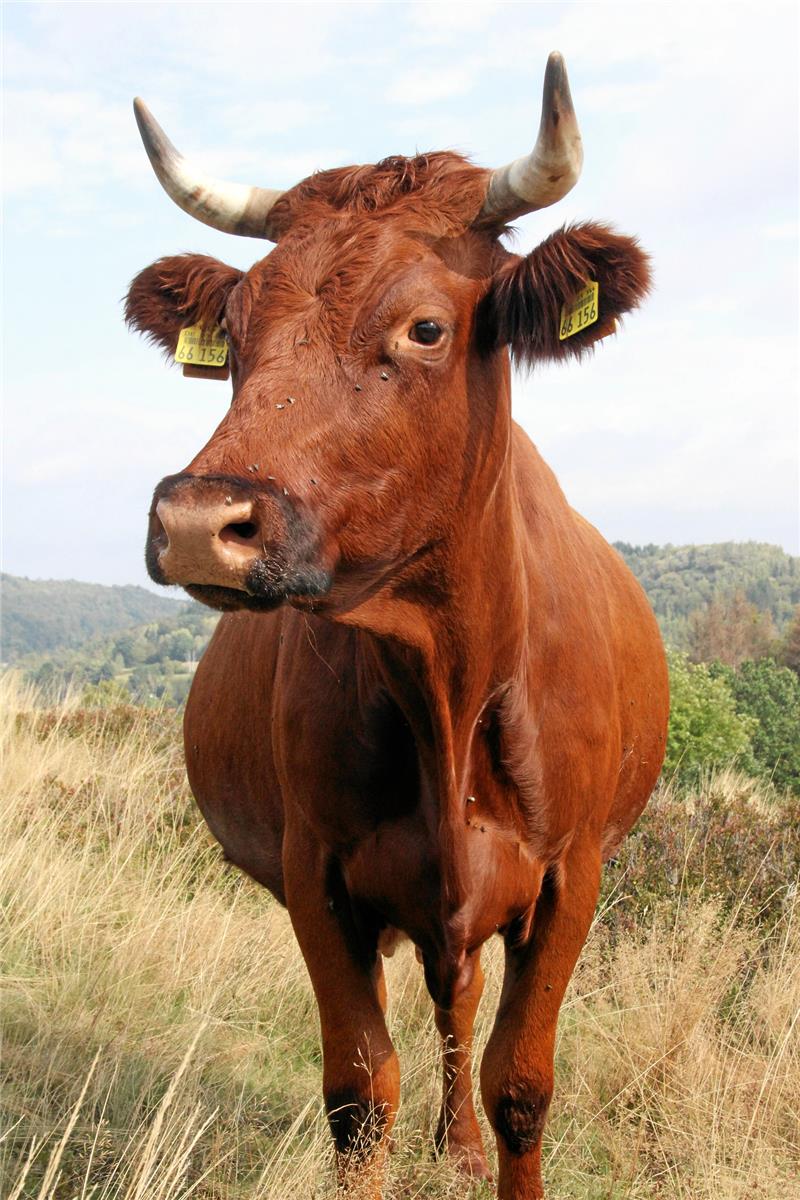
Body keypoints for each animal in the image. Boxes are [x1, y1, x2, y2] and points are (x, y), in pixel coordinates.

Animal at [125, 54, 669, 1199]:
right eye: (234, 333)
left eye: (424, 327)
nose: (198, 521)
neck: (447, 683)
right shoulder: (317, 875)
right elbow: (357, 1092)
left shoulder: (572, 876)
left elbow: (521, 1085)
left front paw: (484, 1142)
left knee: (461, 1007)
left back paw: (455, 1147)